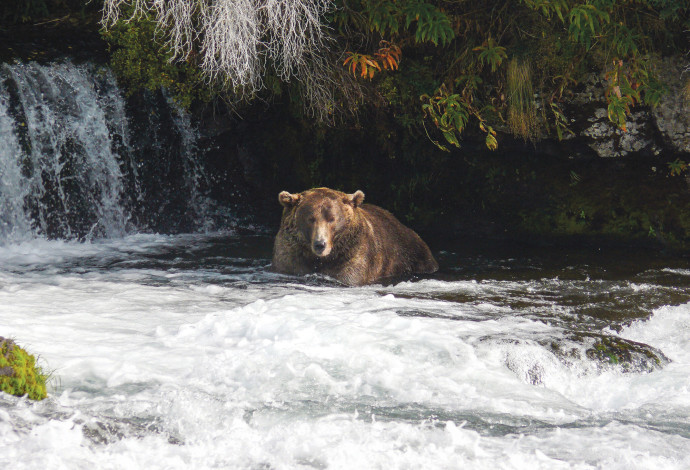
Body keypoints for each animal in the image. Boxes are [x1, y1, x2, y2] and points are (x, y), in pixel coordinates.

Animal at [268, 188, 436, 286]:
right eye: (311, 218)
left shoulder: (354, 252)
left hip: (411, 256)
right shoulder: (290, 255)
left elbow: (350, 275)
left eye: (332, 218)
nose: (320, 244)